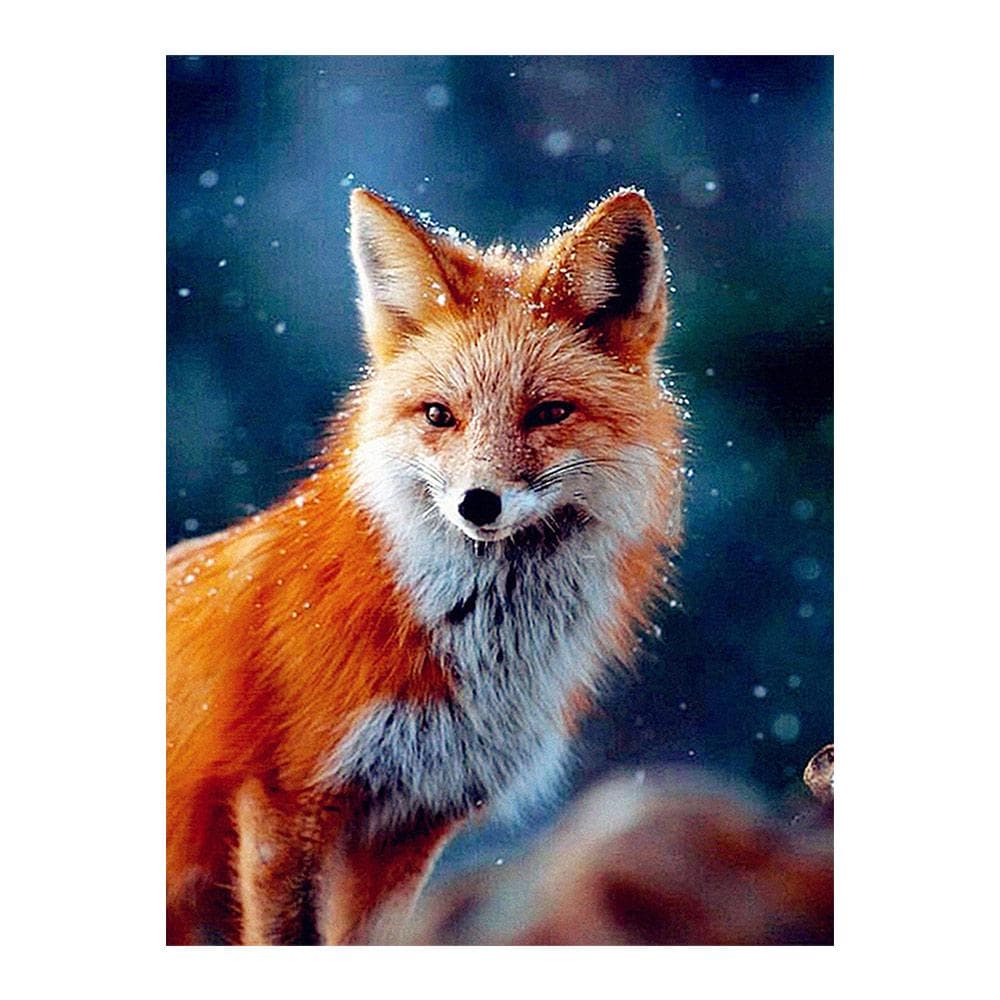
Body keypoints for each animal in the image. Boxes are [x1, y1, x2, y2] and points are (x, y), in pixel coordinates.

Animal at [166, 186, 685, 945]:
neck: (478, 656)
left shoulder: (413, 821)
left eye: (549, 413)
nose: (478, 502)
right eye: (440, 415)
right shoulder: (285, 800)